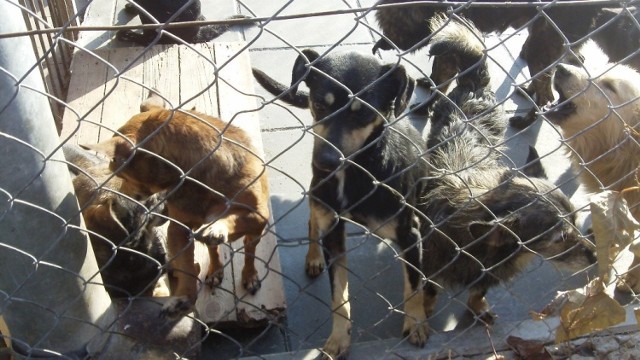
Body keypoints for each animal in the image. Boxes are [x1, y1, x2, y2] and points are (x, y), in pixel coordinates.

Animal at [83, 92, 270, 318]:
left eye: (121, 175)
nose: (122, 195)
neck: (196, 180)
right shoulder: (178, 230)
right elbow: (186, 268)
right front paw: (182, 297)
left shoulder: (259, 216)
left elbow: (233, 217)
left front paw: (218, 225)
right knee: (213, 249)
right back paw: (214, 269)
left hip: (256, 232)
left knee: (250, 250)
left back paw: (249, 275)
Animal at [252, 51, 428, 358]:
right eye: (319, 104)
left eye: (364, 112)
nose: (325, 162)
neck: (357, 171)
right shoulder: (333, 233)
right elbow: (338, 296)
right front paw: (338, 339)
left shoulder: (410, 234)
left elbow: (414, 286)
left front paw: (417, 323)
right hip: (317, 196)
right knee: (312, 221)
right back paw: (313, 257)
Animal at [420, 14, 596, 334]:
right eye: (559, 239)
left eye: (577, 222)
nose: (595, 255)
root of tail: (474, 84)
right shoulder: (429, 266)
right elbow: (427, 295)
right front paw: (420, 319)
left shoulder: (488, 274)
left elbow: (477, 292)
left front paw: (478, 309)